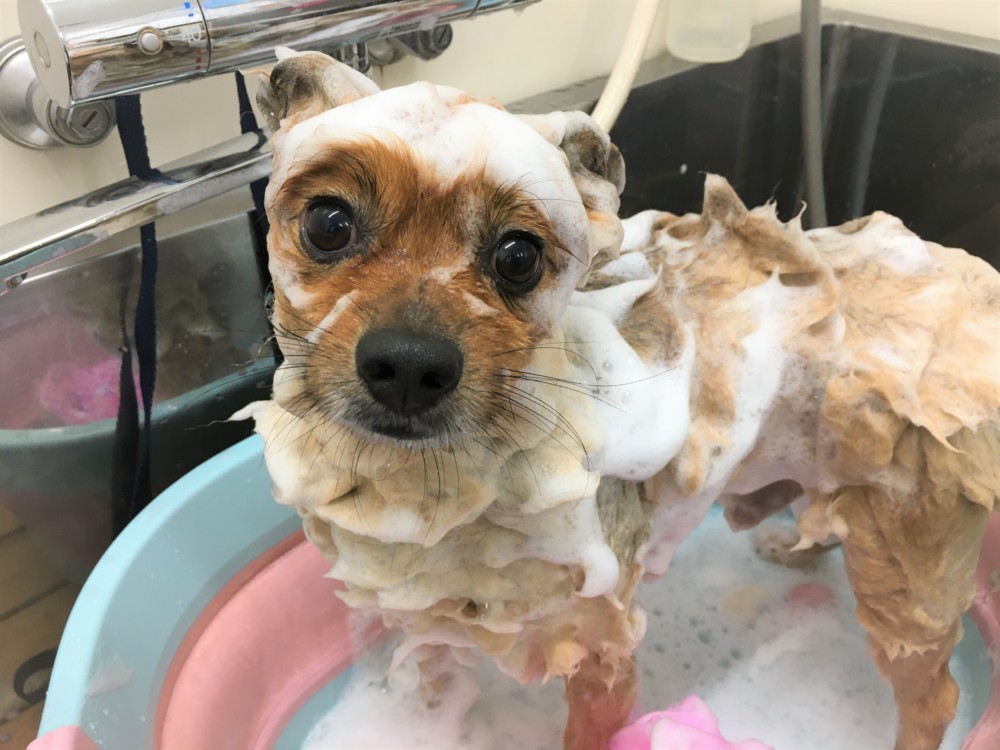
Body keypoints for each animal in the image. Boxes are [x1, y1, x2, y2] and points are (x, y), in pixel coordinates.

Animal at [235, 49, 1000, 750]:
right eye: (328, 223)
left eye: (519, 257)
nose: (408, 365)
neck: (445, 489)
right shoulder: (433, 624)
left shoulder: (601, 648)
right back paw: (790, 547)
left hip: (905, 562)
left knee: (933, 693)